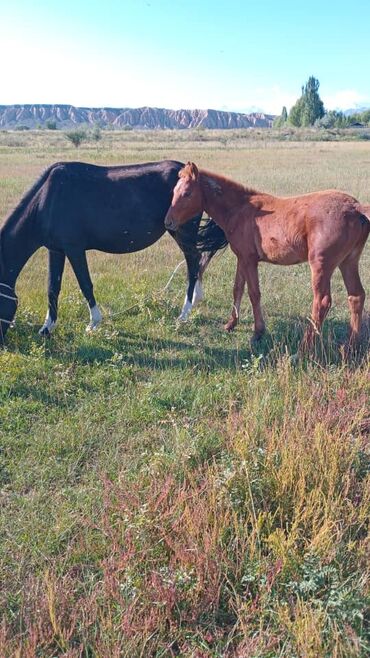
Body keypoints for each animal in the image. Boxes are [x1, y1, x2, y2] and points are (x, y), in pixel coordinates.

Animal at [0, 160, 227, 344]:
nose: (3, 345)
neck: (46, 201)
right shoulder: (55, 250)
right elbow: (52, 288)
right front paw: (47, 328)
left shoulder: (74, 249)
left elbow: (85, 285)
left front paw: (93, 323)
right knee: (197, 261)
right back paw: (195, 299)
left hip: (182, 232)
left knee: (193, 261)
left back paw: (184, 314)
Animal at [165, 161, 370, 346]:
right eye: (173, 192)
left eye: (187, 193)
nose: (168, 222)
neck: (240, 209)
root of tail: (356, 207)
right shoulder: (242, 258)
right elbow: (237, 288)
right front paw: (231, 324)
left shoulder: (250, 260)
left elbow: (254, 293)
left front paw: (257, 333)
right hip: (348, 261)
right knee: (356, 296)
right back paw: (351, 345)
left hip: (321, 265)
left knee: (322, 302)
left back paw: (304, 347)